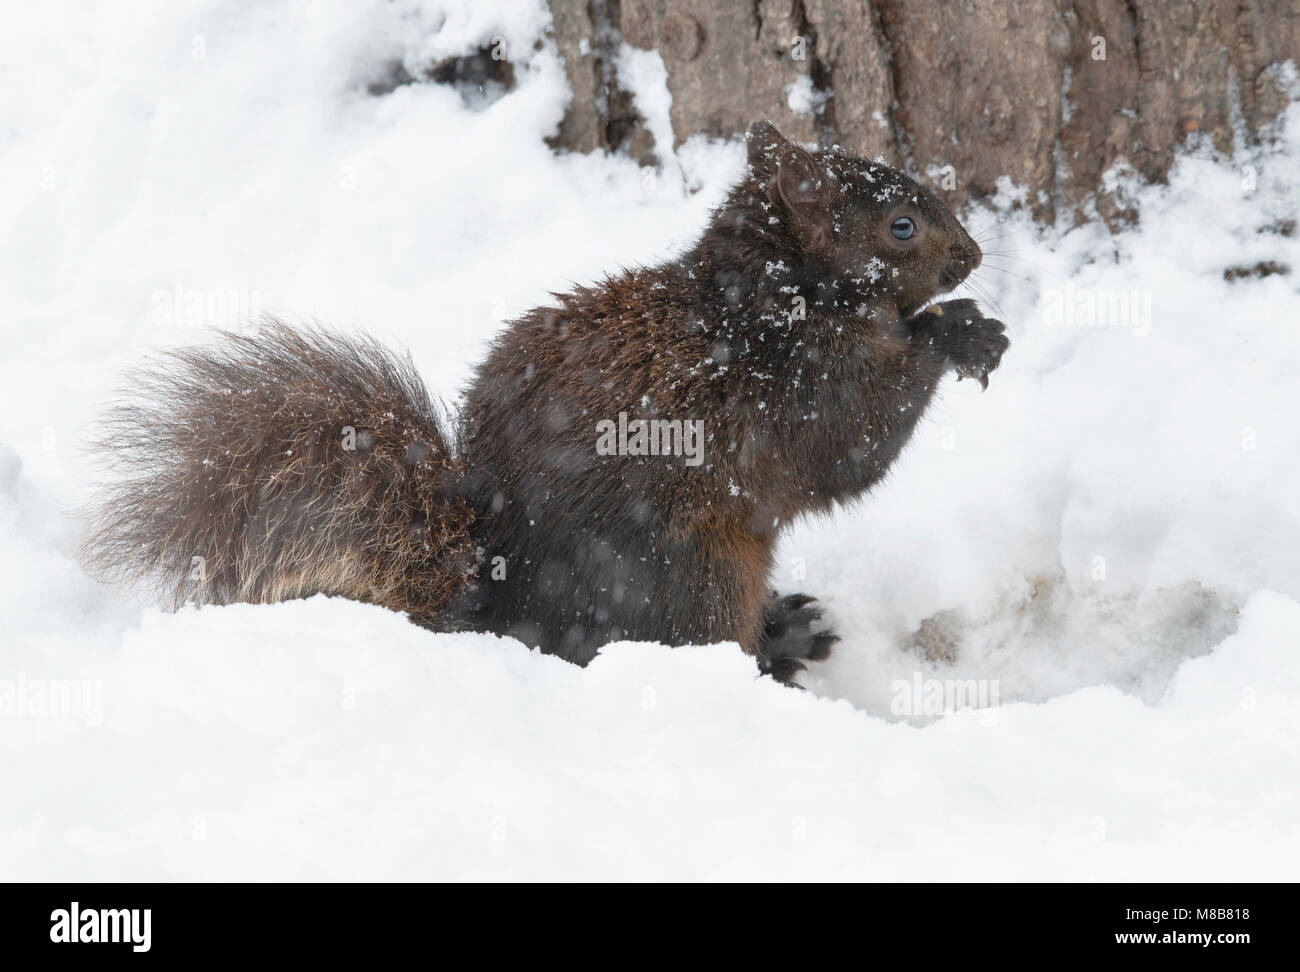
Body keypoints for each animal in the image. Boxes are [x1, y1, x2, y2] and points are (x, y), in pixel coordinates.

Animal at [86, 121, 1008, 680]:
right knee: (696, 642)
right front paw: (960, 333)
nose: (971, 252)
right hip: (692, 572)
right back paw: (776, 648)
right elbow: (855, 442)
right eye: (900, 225)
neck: (771, 297)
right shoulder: (799, 387)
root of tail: (504, 612)